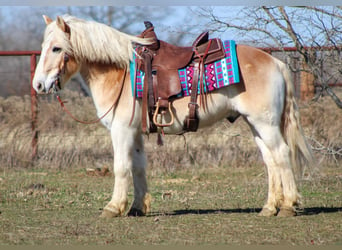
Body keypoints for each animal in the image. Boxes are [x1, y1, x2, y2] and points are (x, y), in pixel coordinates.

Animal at [33, 14, 314, 217]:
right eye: (44, 47)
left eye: (56, 48)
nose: (38, 85)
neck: (119, 71)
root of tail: (275, 62)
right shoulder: (135, 133)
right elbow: (138, 167)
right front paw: (137, 207)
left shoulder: (121, 131)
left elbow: (121, 167)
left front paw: (113, 208)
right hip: (256, 126)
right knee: (271, 161)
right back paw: (269, 208)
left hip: (265, 124)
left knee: (282, 154)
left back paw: (287, 206)